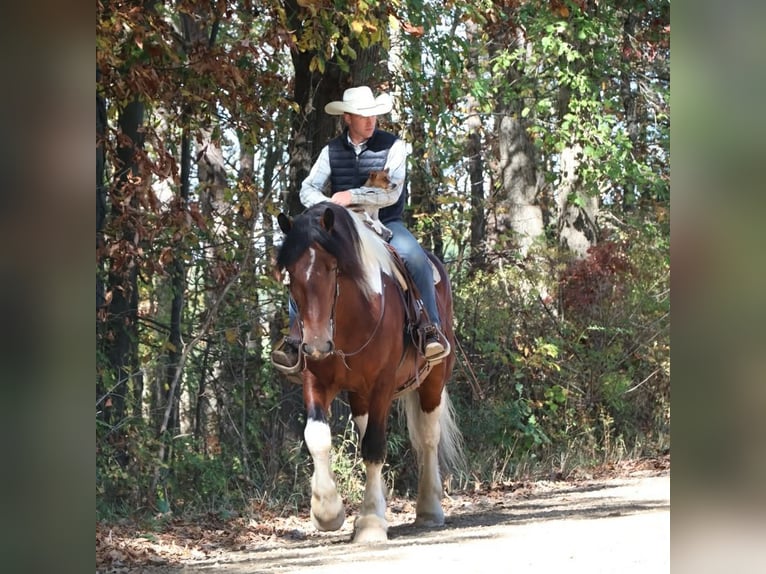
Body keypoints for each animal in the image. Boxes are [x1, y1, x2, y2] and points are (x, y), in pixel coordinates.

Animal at [276, 201, 464, 543]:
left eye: (332, 268)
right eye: (291, 274)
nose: (316, 344)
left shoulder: (382, 385)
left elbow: (375, 446)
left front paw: (371, 522)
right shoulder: (316, 381)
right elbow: (317, 437)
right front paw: (327, 512)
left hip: (433, 380)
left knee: (428, 438)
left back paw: (429, 509)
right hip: (359, 393)